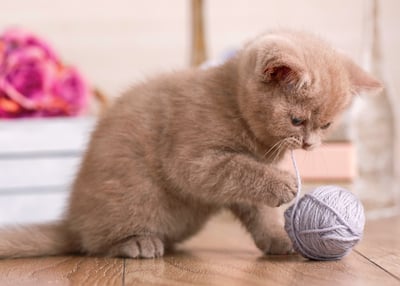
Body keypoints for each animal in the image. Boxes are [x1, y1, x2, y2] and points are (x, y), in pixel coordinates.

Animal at [0, 30, 382, 258]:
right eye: (297, 121)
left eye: (326, 124)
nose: (310, 145)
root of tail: (71, 223)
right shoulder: (193, 161)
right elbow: (236, 169)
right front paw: (282, 184)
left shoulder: (239, 189)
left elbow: (259, 212)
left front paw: (280, 240)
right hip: (132, 194)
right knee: (97, 244)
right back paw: (137, 242)